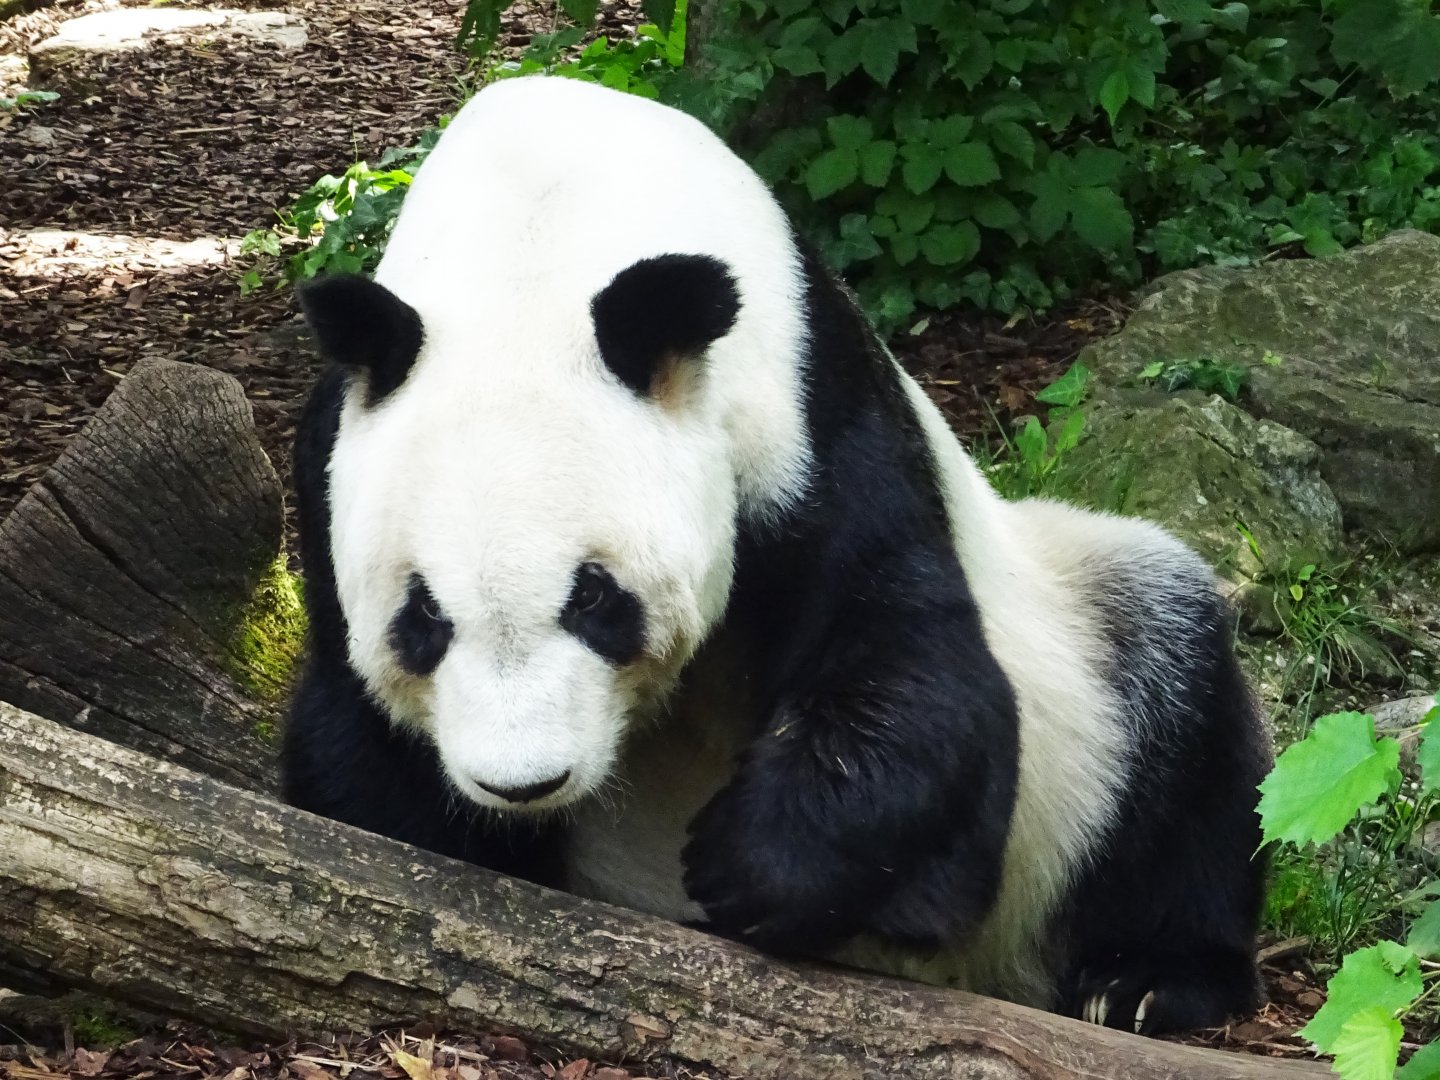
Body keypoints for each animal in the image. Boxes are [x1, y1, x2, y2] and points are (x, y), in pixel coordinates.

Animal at [284, 74, 1271, 1036]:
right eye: (423, 618)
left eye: (596, 599)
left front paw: (752, 867)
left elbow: (912, 668)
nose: (525, 783)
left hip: (1080, 655)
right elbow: (350, 737)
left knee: (1182, 708)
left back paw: (1147, 981)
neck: (538, 231)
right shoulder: (329, 464)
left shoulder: (810, 405)